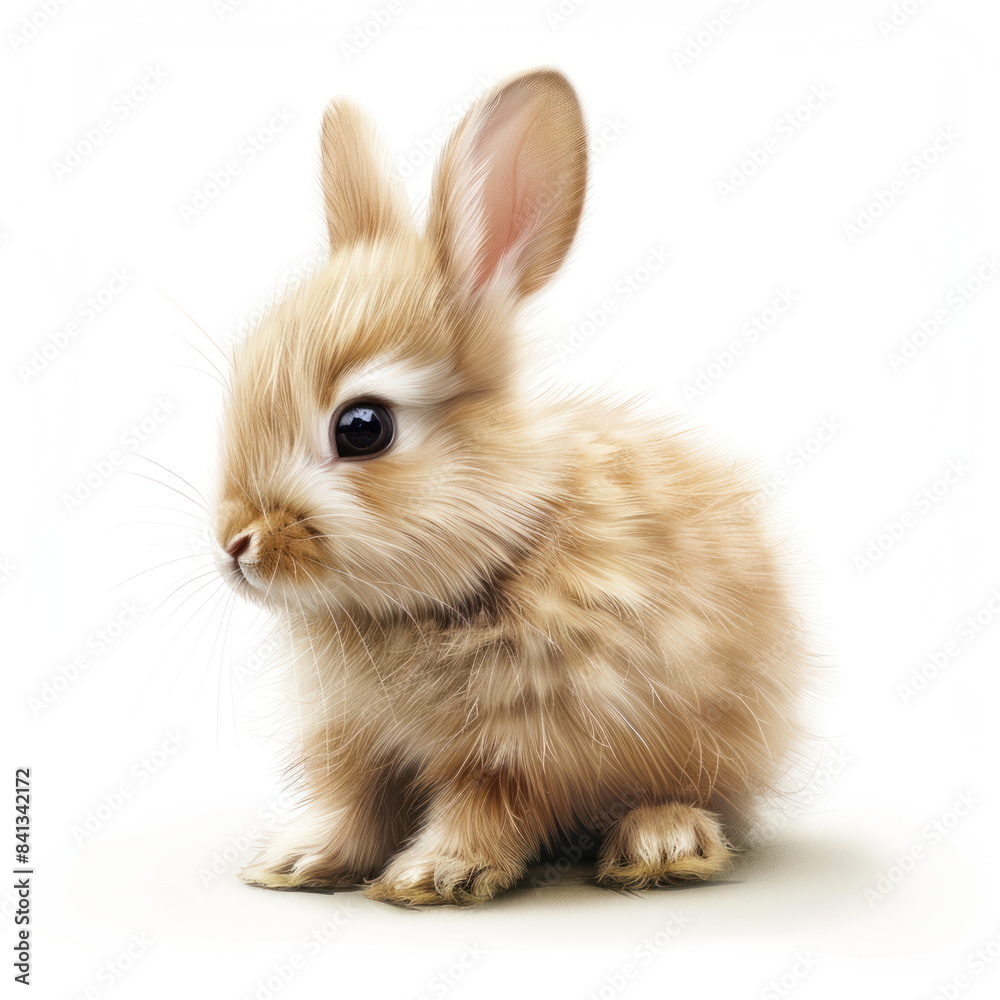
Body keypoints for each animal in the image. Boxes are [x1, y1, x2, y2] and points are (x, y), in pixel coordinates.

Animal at [213, 68, 809, 906]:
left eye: (362, 427)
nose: (236, 544)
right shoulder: (355, 741)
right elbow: (352, 803)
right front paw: (298, 862)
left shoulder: (528, 745)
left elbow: (488, 804)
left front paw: (433, 875)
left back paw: (662, 844)